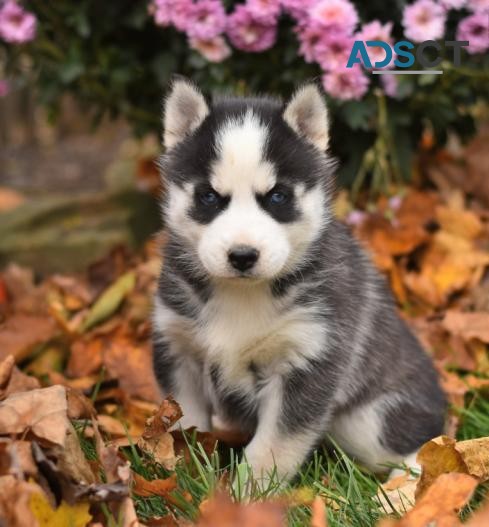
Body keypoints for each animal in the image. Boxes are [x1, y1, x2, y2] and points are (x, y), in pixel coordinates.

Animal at [152, 76, 446, 484]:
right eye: (209, 196)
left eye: (278, 196)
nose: (242, 256)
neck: (243, 294)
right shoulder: (177, 348)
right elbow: (184, 425)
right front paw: (184, 474)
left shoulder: (310, 358)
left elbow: (274, 446)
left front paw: (249, 492)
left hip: (369, 421)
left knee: (424, 450)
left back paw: (401, 492)